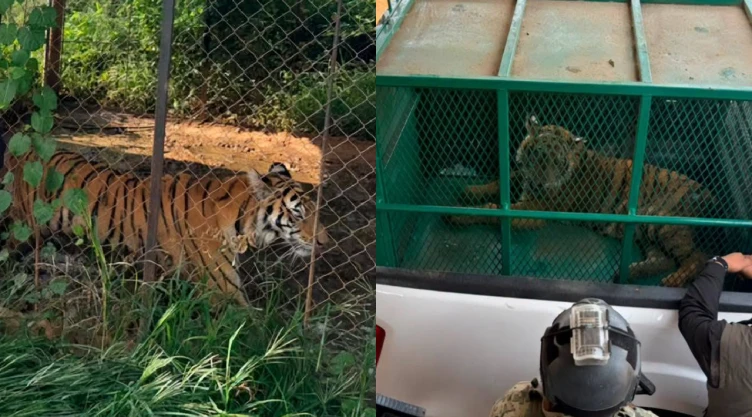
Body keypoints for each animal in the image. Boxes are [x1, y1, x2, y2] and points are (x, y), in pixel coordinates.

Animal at [447, 115, 714, 288]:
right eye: (539, 156)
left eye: (557, 161)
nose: (544, 185)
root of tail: (705, 190)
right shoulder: (524, 178)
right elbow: (501, 181)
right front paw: (469, 191)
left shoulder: (534, 209)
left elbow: (495, 212)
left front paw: (459, 214)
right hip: (644, 233)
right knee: (664, 258)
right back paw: (632, 272)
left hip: (662, 222)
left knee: (698, 256)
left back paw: (673, 280)